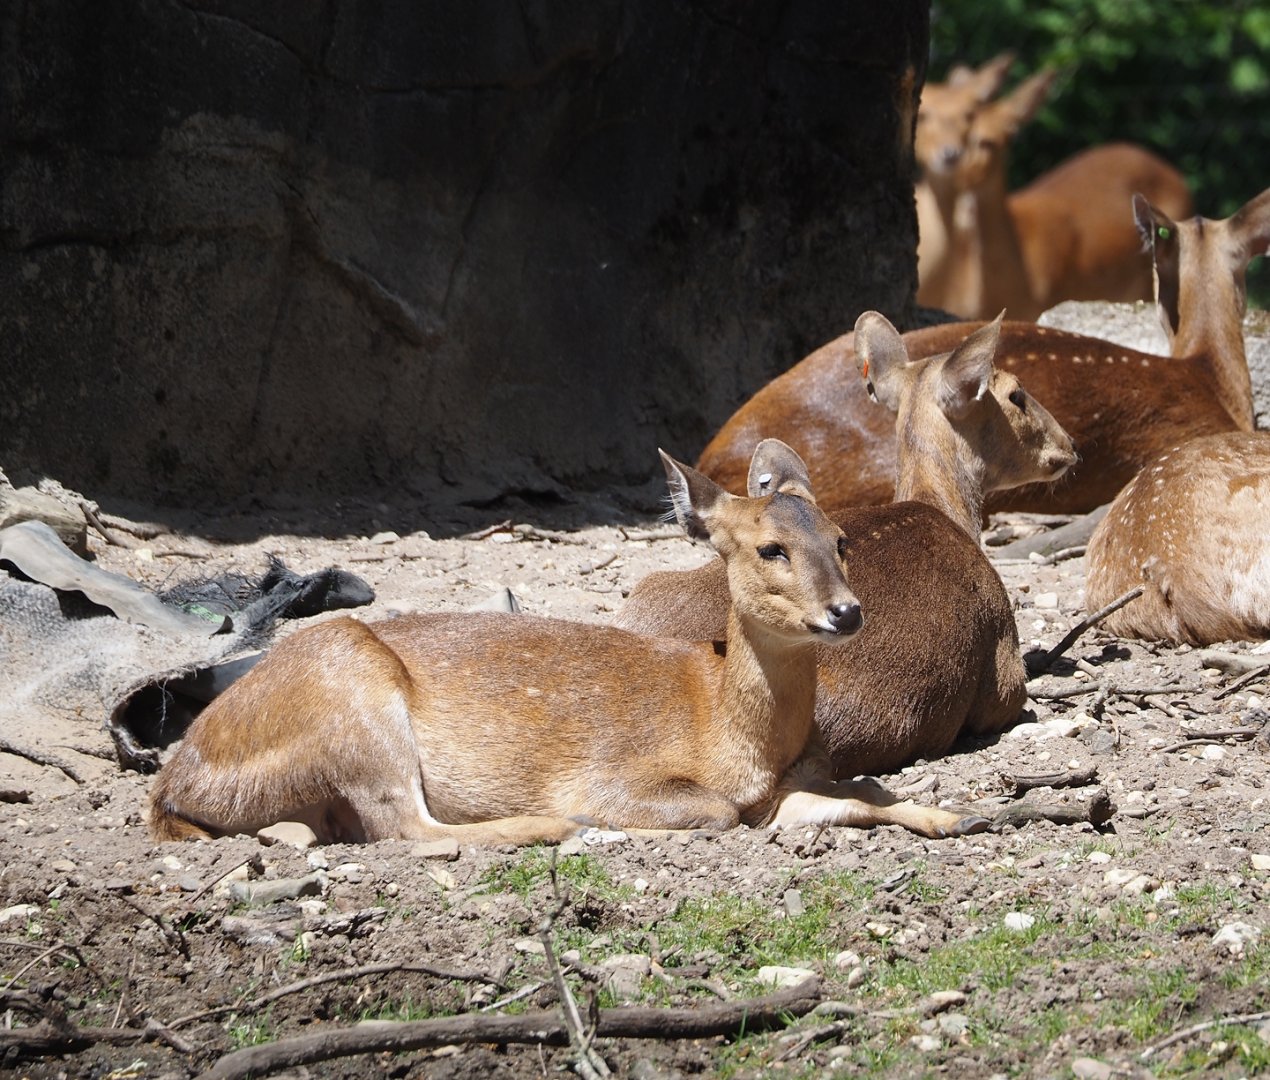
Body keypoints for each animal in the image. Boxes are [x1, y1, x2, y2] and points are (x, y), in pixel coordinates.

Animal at [150, 441, 992, 846]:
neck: (722, 722)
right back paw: (561, 827)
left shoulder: (777, 792)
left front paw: (954, 817)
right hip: (354, 698)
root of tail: (176, 782)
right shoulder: (622, 772)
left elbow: (849, 801)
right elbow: (716, 811)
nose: (847, 613)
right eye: (770, 549)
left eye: (843, 540)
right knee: (405, 827)